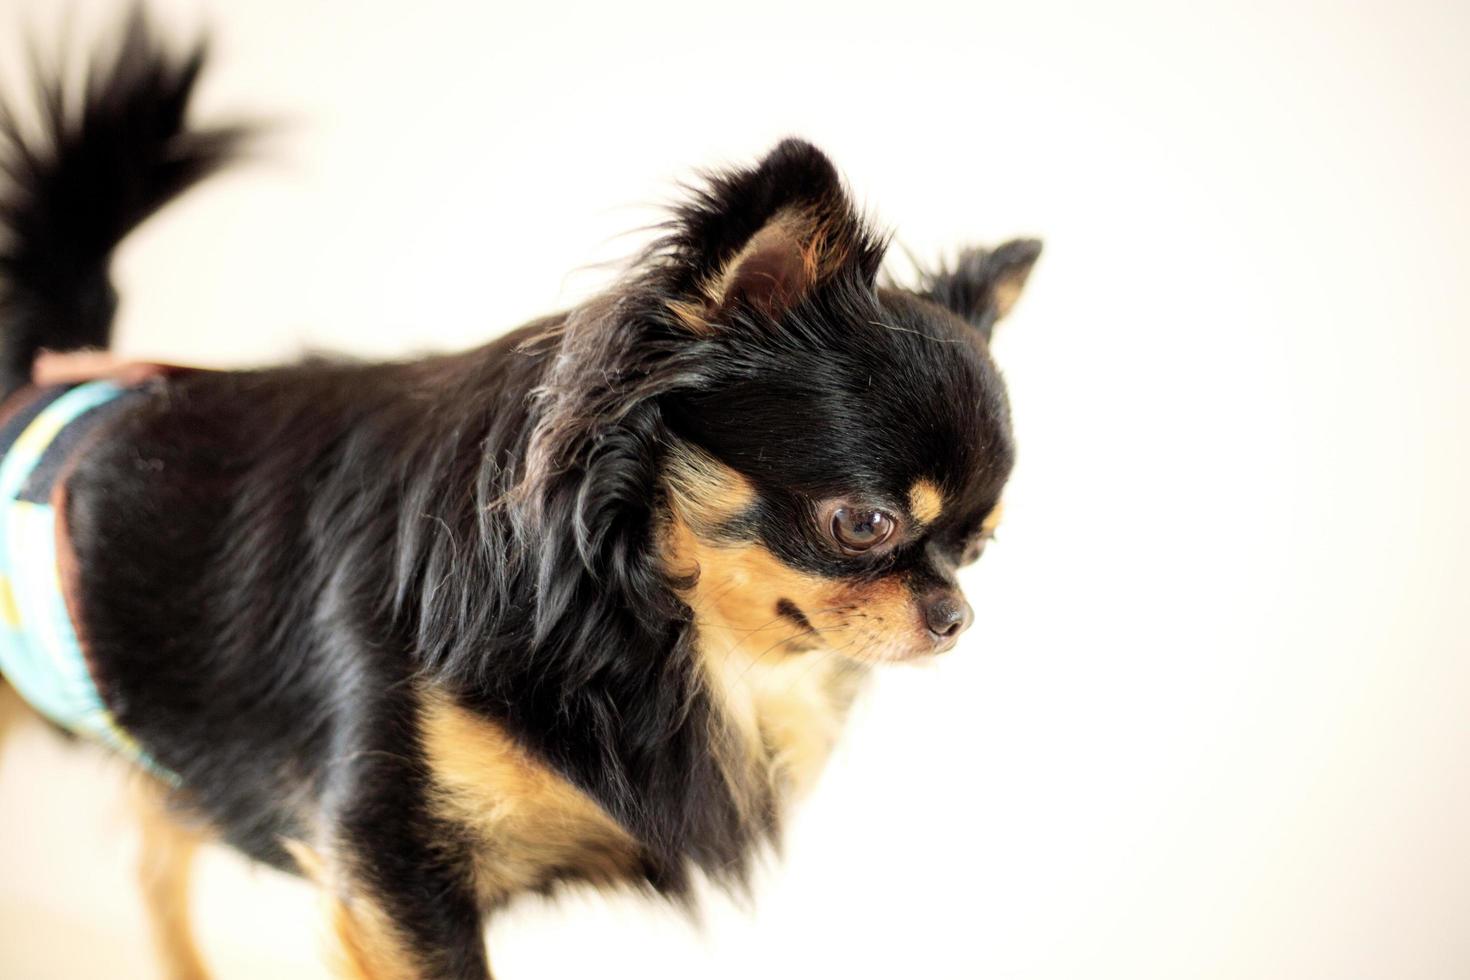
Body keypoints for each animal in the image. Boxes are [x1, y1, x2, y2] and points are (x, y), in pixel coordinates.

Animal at [0, 9, 1034, 980]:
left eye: (978, 547)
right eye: (864, 524)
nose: (956, 616)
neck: (638, 625)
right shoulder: (396, 875)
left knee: (154, 857)